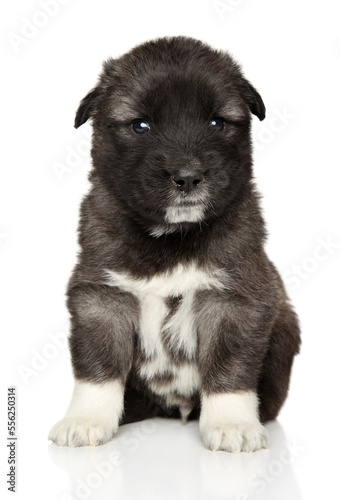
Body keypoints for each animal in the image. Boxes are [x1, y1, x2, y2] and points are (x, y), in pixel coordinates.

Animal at [48, 37, 300, 454]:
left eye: (217, 122)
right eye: (141, 125)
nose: (188, 178)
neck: (172, 238)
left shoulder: (235, 300)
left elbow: (230, 365)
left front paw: (232, 423)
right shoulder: (101, 296)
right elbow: (97, 363)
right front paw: (86, 419)